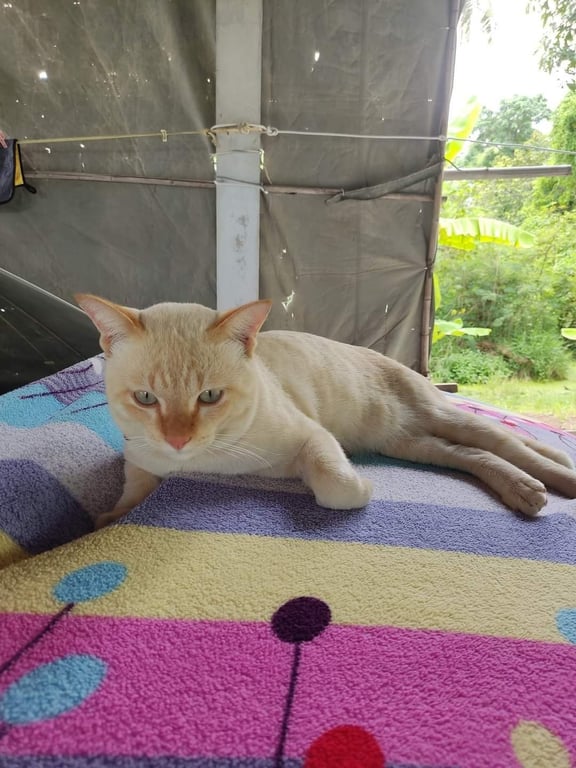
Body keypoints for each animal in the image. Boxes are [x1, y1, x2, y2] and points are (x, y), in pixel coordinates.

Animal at [76, 293, 576, 528]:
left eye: (210, 397)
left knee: (506, 442)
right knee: (476, 455)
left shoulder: (312, 436)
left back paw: (550, 483)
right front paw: (110, 518)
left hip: (441, 417)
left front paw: (361, 486)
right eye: (145, 399)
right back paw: (523, 491)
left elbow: (336, 485)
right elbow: (129, 497)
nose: (177, 439)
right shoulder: (142, 462)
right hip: (412, 443)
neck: (207, 464)